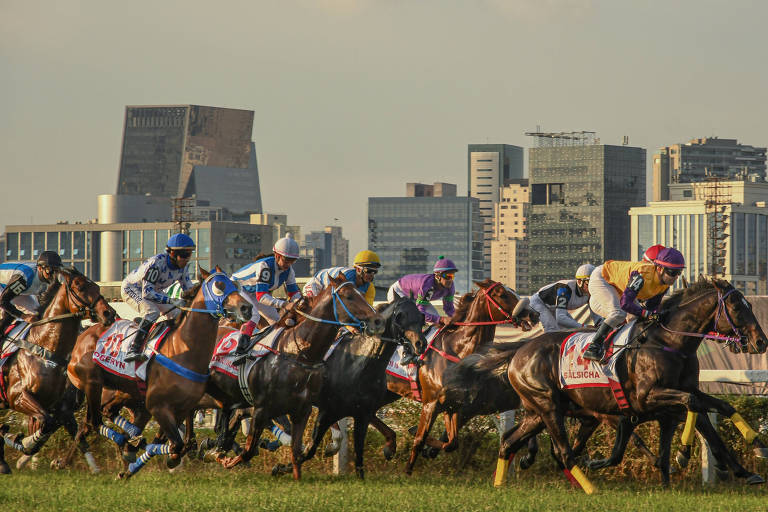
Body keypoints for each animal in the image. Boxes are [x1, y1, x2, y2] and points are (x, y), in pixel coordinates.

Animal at [0, 266, 115, 474]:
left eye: (95, 286)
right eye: (80, 286)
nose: (108, 313)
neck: (44, 349)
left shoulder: (58, 407)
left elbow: (64, 431)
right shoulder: (18, 396)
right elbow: (47, 424)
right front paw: (22, 445)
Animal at [66, 266, 250, 478]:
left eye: (234, 284)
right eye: (219, 285)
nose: (246, 308)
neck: (184, 350)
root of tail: (83, 336)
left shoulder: (181, 408)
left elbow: (179, 444)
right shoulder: (158, 406)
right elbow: (176, 445)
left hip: (127, 391)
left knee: (107, 412)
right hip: (92, 384)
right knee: (94, 421)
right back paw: (124, 441)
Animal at [201, 276, 388, 480]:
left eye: (361, 294)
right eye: (349, 296)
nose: (378, 321)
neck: (297, 353)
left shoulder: (303, 410)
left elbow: (297, 453)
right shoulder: (262, 409)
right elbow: (249, 450)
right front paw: (221, 456)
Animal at [496, 278, 764, 494]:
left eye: (750, 305)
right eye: (737, 307)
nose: (761, 341)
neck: (668, 342)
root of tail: (519, 352)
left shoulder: (685, 392)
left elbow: (719, 412)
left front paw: (752, 457)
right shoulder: (647, 397)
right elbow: (693, 405)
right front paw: (683, 453)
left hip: (541, 412)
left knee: (509, 442)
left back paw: (502, 482)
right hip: (549, 407)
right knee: (563, 452)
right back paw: (590, 488)